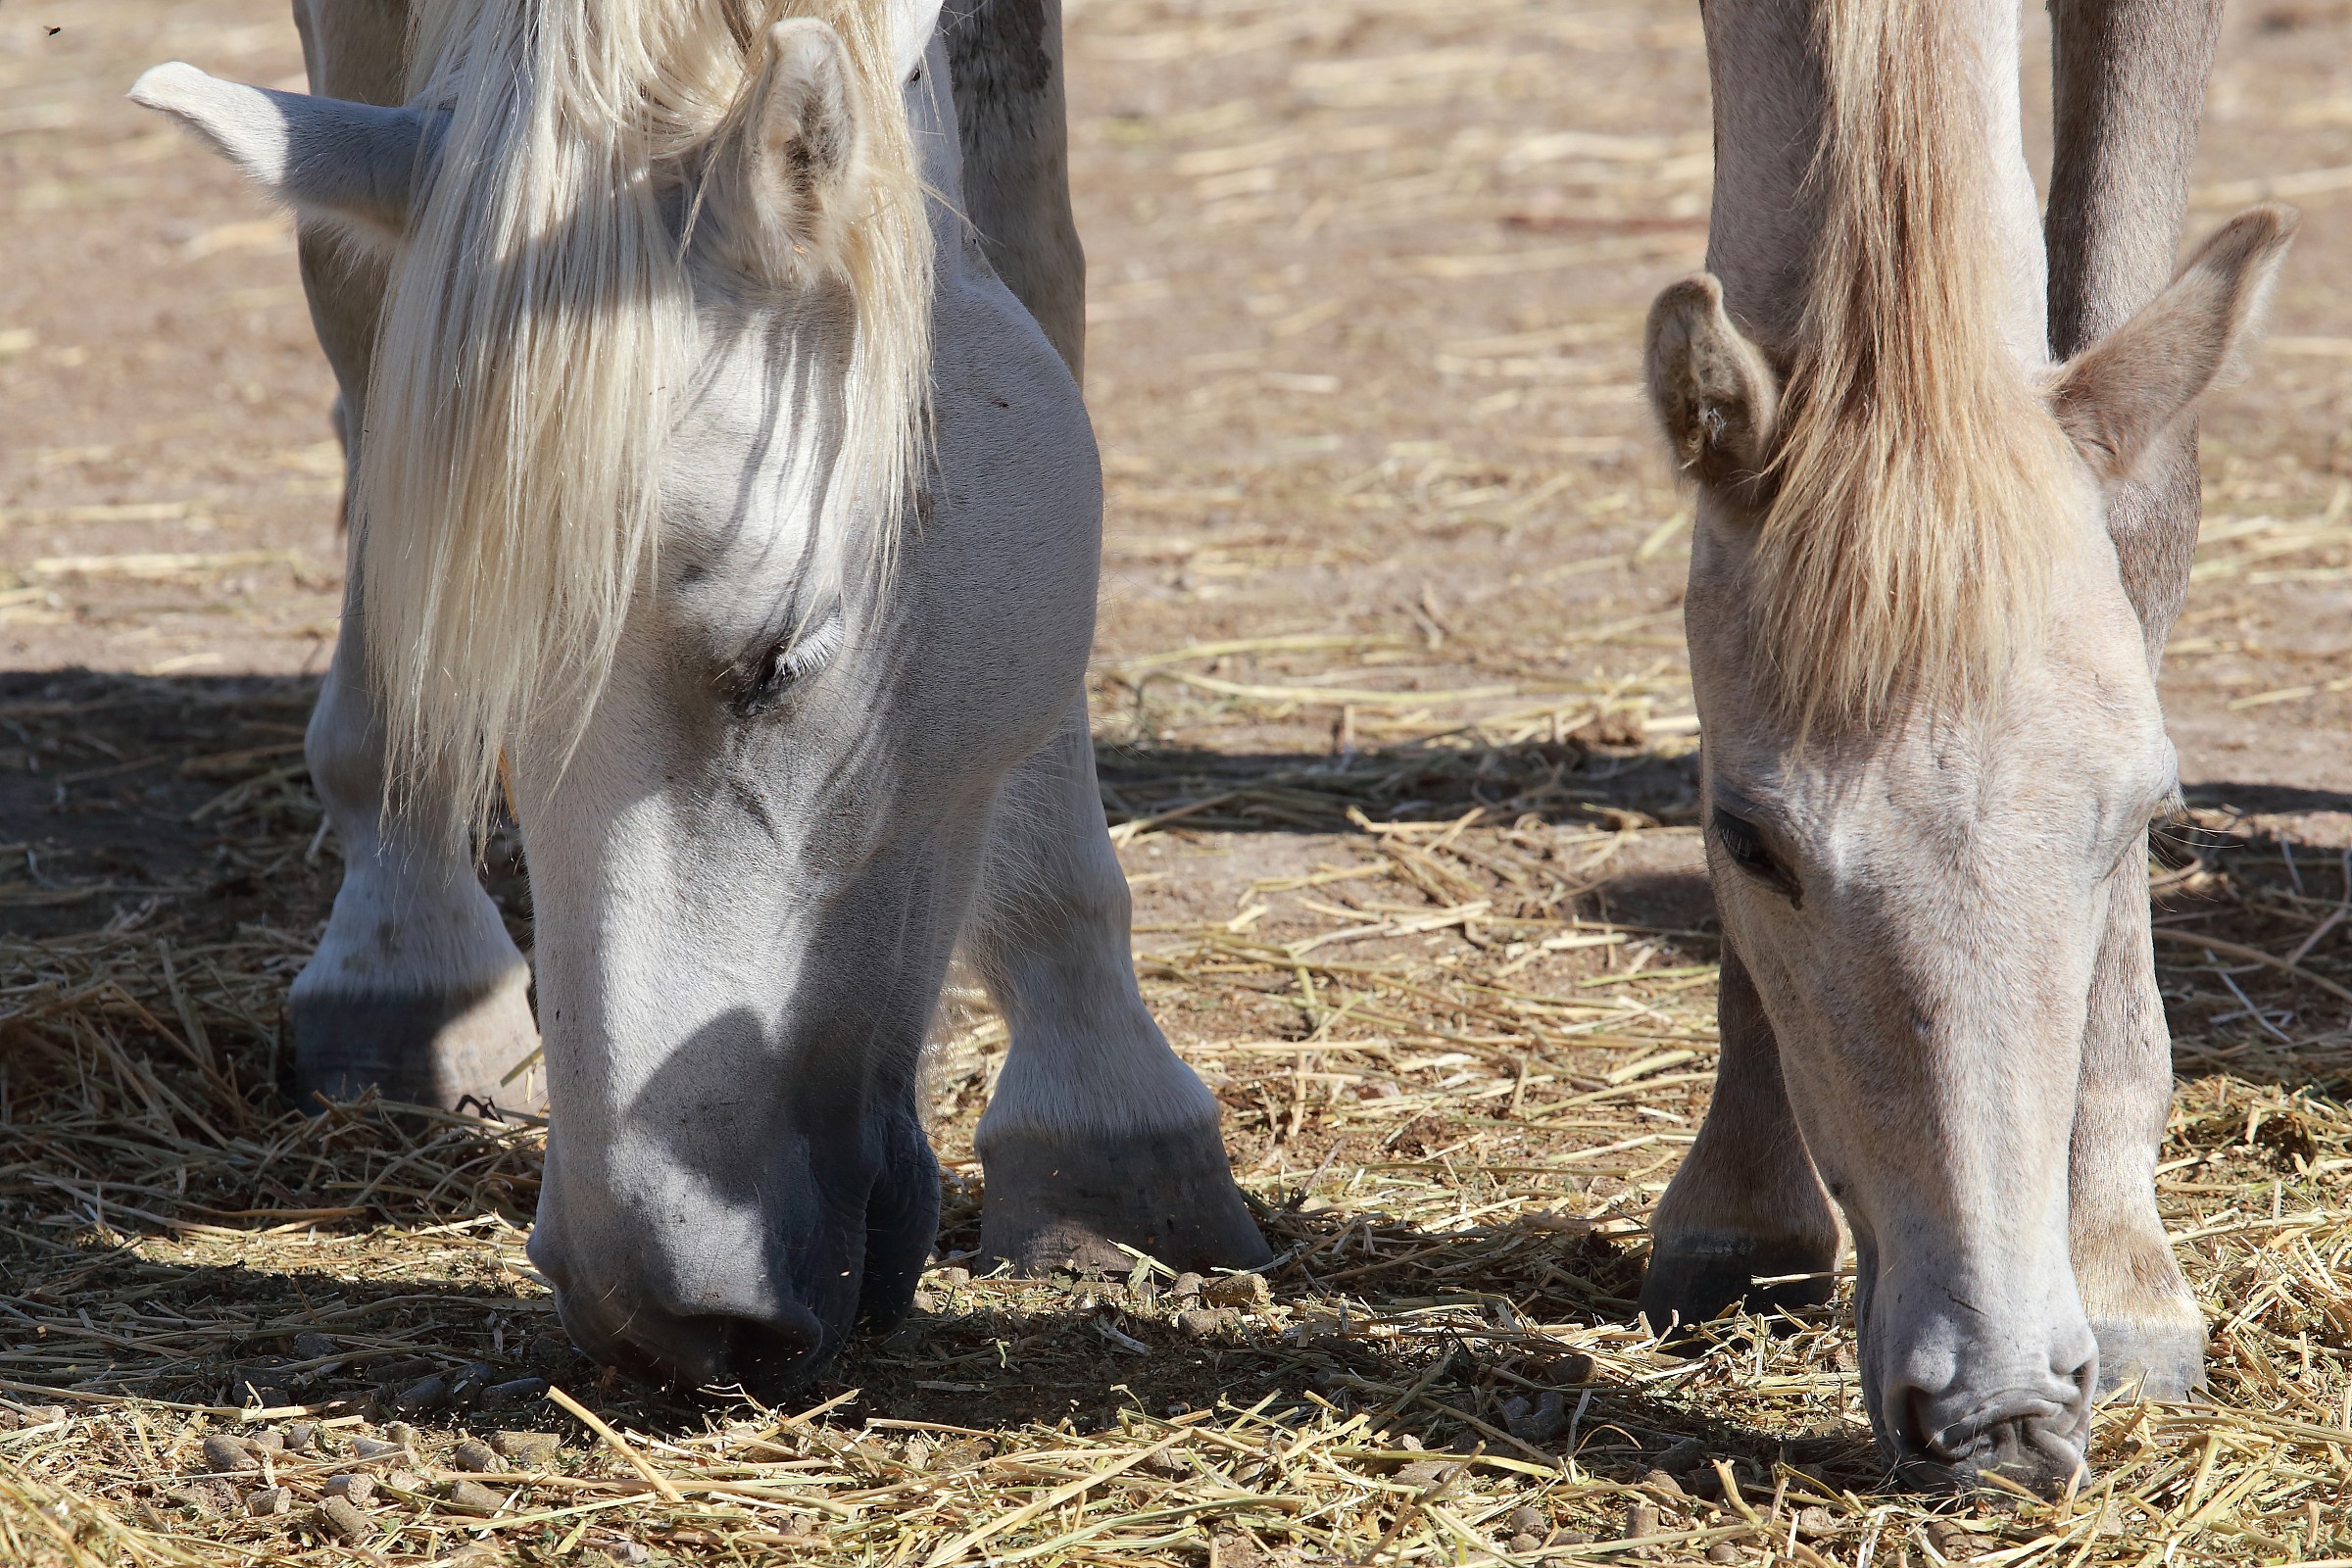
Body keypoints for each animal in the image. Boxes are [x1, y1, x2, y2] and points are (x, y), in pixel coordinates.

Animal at [131, 0, 1267, 1396]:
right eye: (483, 691)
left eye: (777, 658)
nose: (654, 1311)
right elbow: (366, 323)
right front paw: (398, 934)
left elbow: (1035, 279)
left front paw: (1104, 1124)